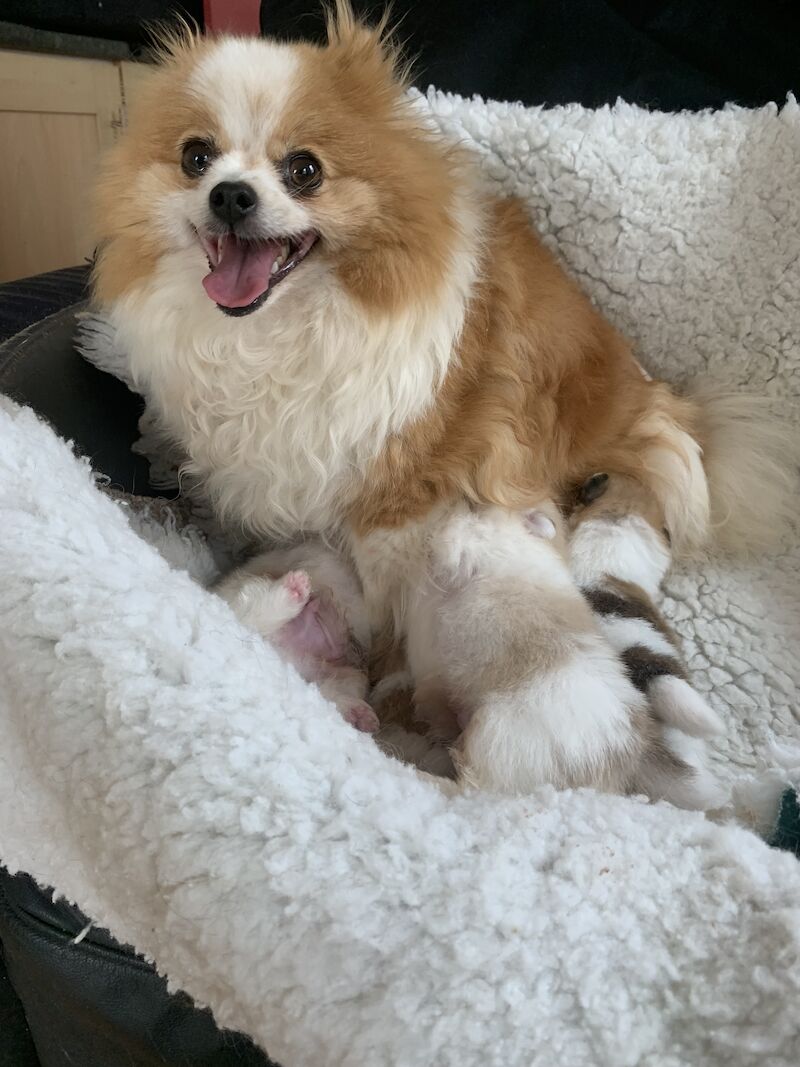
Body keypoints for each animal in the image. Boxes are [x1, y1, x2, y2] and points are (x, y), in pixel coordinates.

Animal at [213, 542, 375, 734]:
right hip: (247, 605)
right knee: (263, 608)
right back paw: (296, 587)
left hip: (341, 676)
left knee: (334, 693)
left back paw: (361, 716)